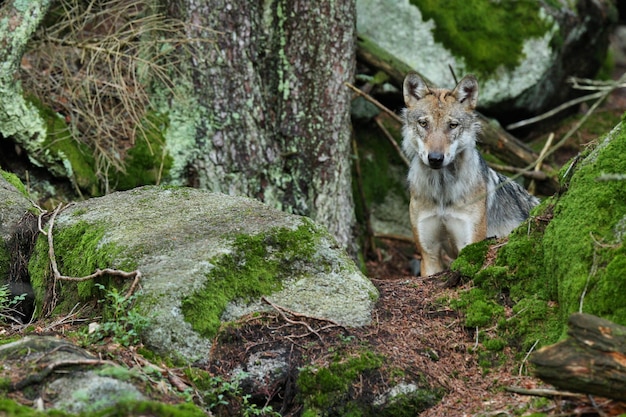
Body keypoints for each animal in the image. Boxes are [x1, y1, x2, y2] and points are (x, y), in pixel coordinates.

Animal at [402, 73, 540, 276]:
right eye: (423, 123)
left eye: (452, 125)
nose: (435, 158)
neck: (442, 192)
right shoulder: (430, 257)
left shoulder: (470, 249)